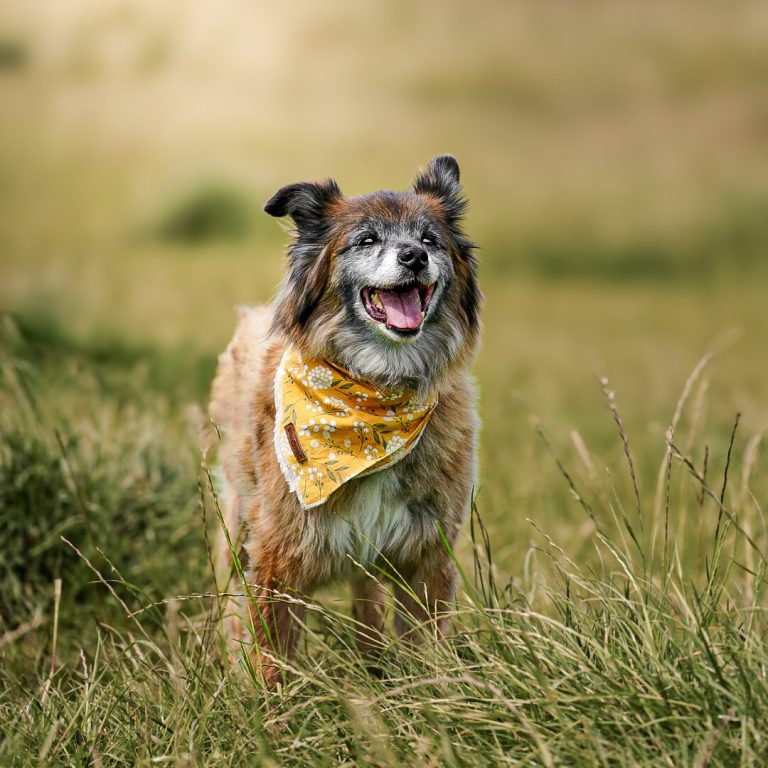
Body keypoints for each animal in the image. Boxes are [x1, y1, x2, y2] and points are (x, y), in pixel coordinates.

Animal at [210, 156, 480, 684]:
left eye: (430, 238)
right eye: (367, 240)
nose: (414, 257)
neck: (375, 391)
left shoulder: (425, 554)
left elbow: (423, 646)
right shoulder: (276, 557)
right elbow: (269, 657)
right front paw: (265, 705)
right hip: (236, 525)